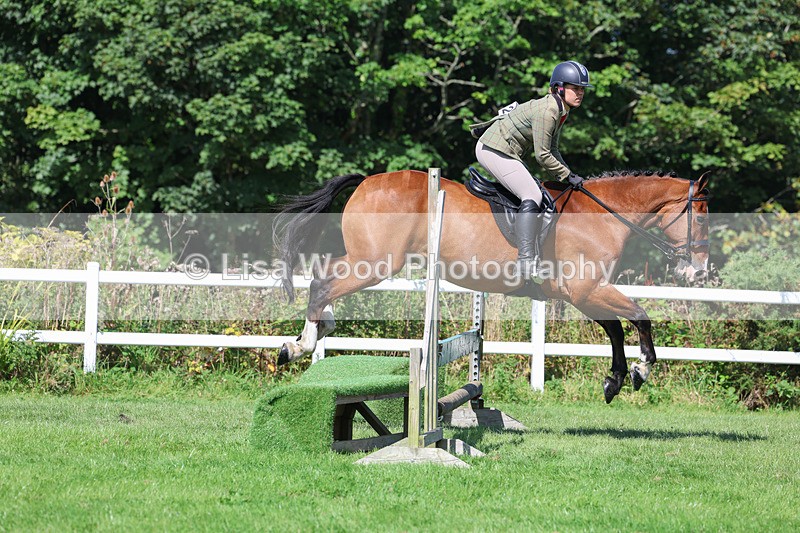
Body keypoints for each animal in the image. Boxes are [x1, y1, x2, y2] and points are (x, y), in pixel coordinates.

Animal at [273, 169, 710, 403]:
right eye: (704, 217)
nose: (700, 274)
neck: (604, 216)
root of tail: (366, 181)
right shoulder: (587, 290)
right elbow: (639, 317)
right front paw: (640, 371)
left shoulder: (582, 294)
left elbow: (617, 329)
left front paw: (615, 380)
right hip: (377, 262)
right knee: (322, 283)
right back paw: (301, 345)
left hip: (370, 260)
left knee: (324, 278)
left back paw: (312, 333)